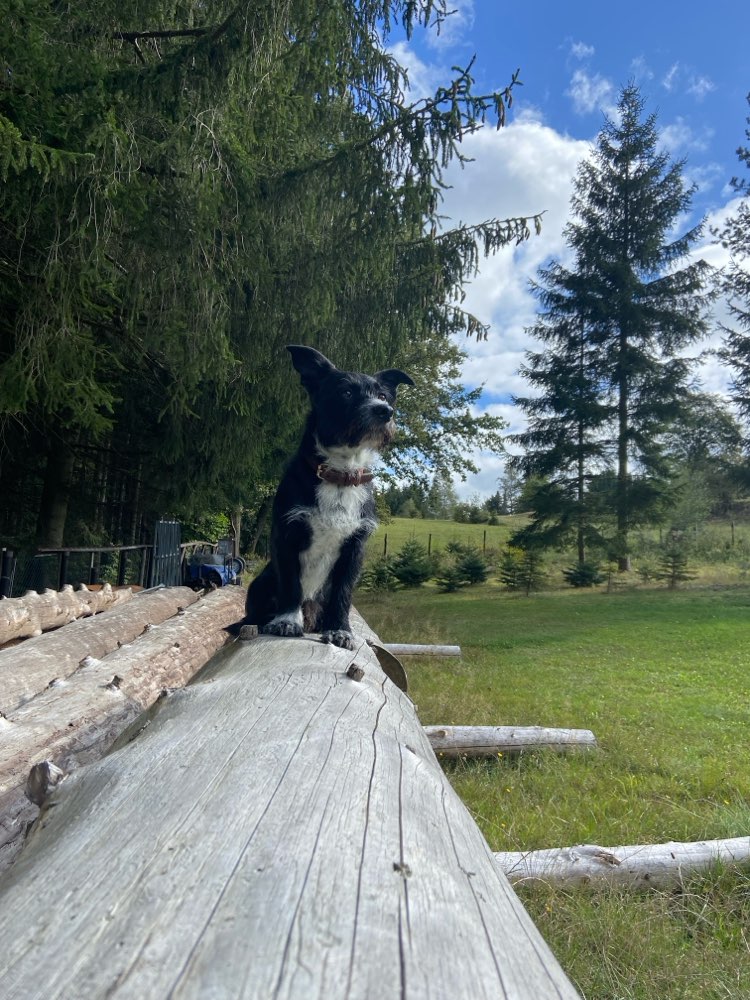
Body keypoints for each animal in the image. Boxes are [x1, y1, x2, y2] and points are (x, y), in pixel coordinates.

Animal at [238, 348, 414, 652]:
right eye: (346, 392)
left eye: (383, 395)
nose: (384, 411)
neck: (340, 475)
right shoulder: (286, 536)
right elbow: (291, 583)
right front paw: (287, 621)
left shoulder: (355, 548)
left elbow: (342, 594)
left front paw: (340, 629)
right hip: (260, 584)